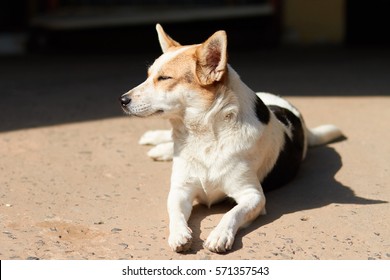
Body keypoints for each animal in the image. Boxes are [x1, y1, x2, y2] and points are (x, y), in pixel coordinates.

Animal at [119, 24, 342, 254]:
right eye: (148, 76)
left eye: (164, 78)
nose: (122, 100)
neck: (203, 137)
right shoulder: (180, 190)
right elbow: (176, 214)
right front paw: (179, 234)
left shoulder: (253, 196)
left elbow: (231, 214)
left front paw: (220, 235)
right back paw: (157, 142)